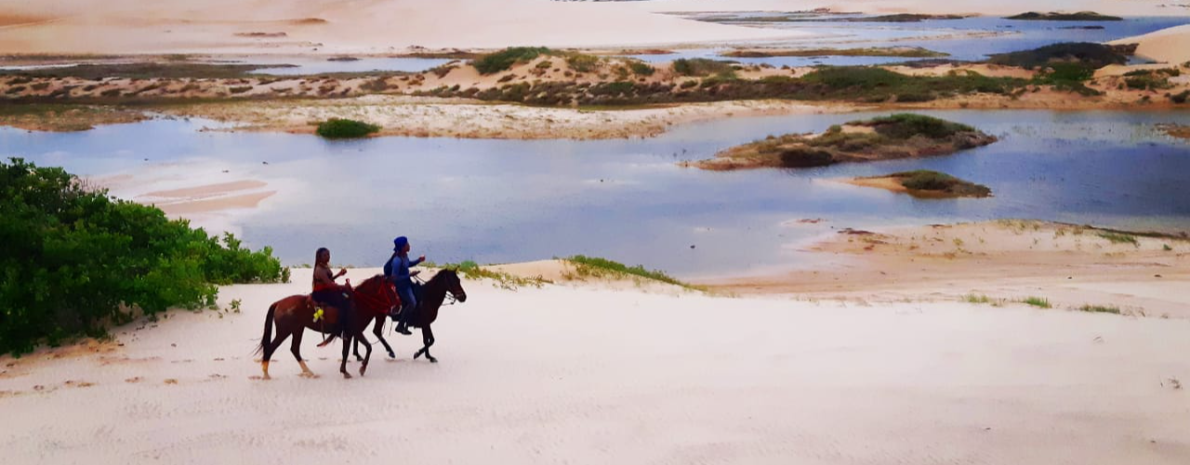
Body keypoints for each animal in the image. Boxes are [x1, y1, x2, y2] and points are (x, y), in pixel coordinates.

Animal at [254, 277, 395, 378]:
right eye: (391, 289)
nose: (397, 306)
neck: (358, 304)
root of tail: (278, 303)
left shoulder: (350, 332)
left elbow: (347, 352)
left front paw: (345, 371)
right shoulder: (353, 330)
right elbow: (368, 347)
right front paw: (361, 368)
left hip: (297, 329)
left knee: (294, 349)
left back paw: (308, 371)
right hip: (284, 331)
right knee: (271, 348)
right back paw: (266, 374)